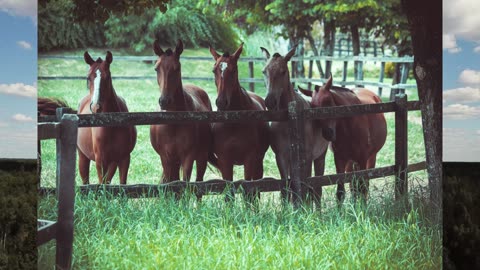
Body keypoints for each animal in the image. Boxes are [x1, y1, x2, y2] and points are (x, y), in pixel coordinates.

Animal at [77, 51, 137, 185]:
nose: (95, 107)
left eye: (108, 77)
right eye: (88, 78)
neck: (111, 124)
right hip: (83, 157)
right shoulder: (100, 161)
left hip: (112, 162)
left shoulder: (124, 159)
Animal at [150, 39, 214, 186]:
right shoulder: (166, 158)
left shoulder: (188, 158)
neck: (174, 123)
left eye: (177, 68)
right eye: (156, 68)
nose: (164, 101)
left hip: (201, 157)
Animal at [210, 42, 270, 200]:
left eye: (234, 70)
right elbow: (228, 194)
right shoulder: (225, 161)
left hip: (258, 161)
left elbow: (249, 192)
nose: (221, 102)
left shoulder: (250, 159)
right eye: (214, 70)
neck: (234, 122)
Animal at [258, 46, 330, 202]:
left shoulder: (307, 157)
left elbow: (306, 188)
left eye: (283, 71)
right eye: (264, 71)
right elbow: (286, 187)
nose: (270, 102)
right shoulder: (281, 156)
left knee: (317, 188)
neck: (289, 121)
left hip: (320, 157)